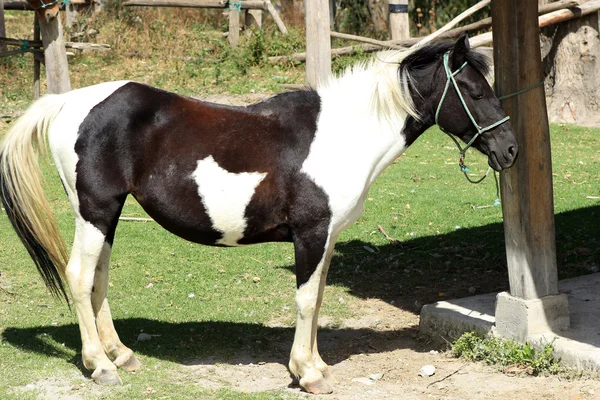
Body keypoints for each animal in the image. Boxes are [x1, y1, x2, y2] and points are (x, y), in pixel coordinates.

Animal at [0, 36, 516, 396]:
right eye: (473, 90)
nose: (509, 149)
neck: (344, 135)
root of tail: (67, 103)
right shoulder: (311, 234)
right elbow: (306, 301)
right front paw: (308, 375)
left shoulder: (326, 239)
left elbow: (319, 298)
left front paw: (315, 364)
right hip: (96, 210)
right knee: (79, 275)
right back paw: (101, 366)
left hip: (106, 214)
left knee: (98, 277)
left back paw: (121, 354)